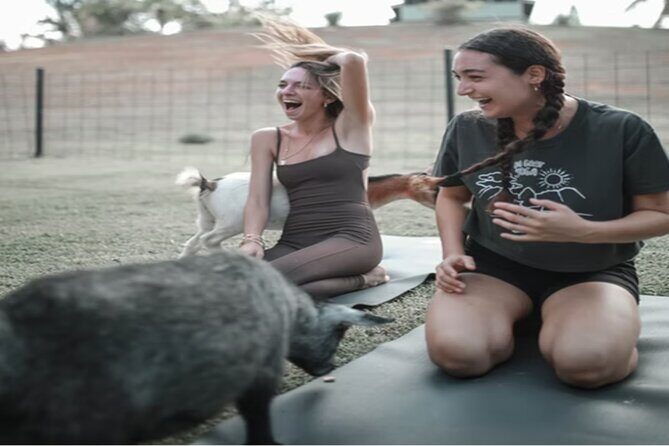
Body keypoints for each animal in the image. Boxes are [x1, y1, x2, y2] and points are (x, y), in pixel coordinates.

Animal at [176, 168, 441, 257]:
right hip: (232, 223)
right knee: (208, 240)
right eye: (433, 190)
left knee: (194, 241)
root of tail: (210, 184)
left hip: (207, 219)